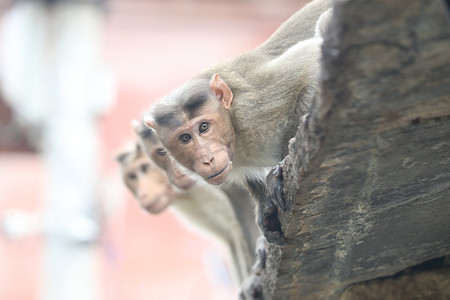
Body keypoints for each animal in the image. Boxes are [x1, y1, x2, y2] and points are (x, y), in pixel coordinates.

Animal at [144, 0, 334, 245]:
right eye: (185, 138)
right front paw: (265, 207)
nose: (207, 158)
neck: (235, 127)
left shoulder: (254, 107)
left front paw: (283, 164)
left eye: (204, 127)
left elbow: (309, 61)